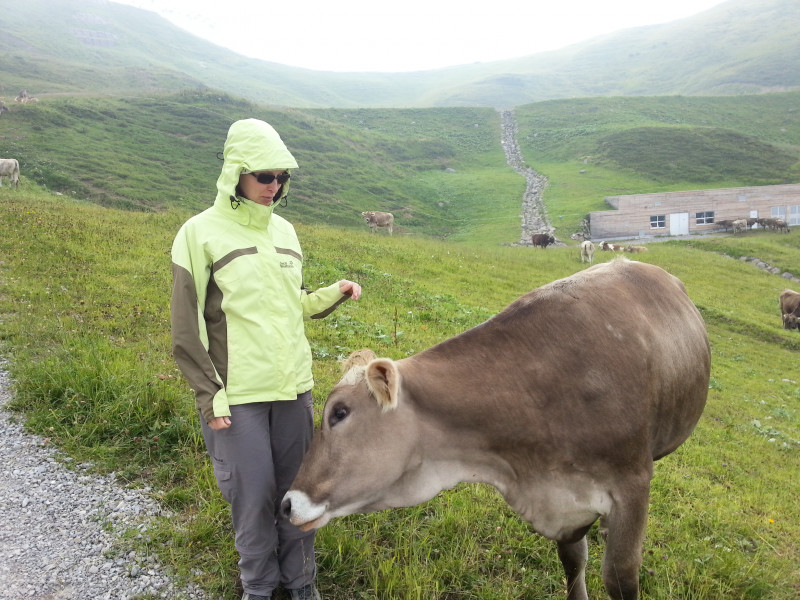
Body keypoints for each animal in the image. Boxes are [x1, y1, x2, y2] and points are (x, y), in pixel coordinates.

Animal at [282, 259, 710, 600]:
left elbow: (620, 578)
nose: (286, 503)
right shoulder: (565, 507)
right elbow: (573, 561)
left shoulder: (632, 483)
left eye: (339, 413)